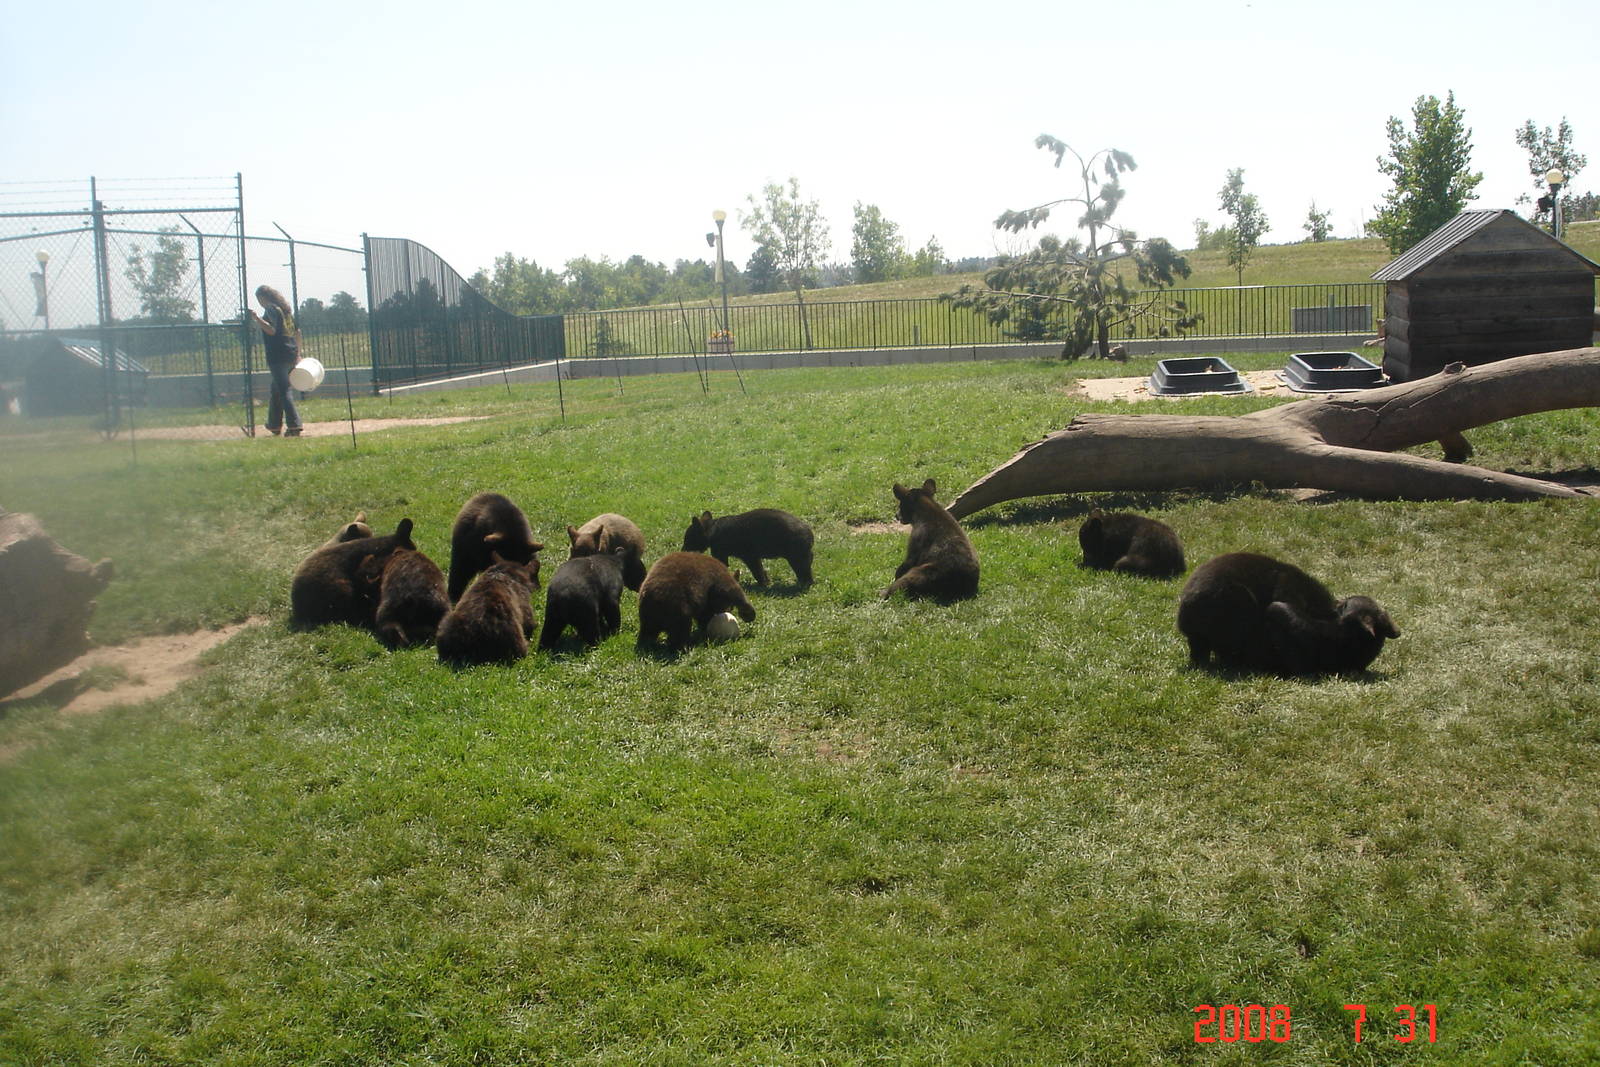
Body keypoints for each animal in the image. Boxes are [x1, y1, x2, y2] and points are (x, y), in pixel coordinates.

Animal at [681, 508, 814, 587]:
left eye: (688, 540)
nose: (682, 551)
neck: (712, 530)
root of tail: (809, 533)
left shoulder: (745, 556)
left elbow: (757, 571)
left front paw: (763, 584)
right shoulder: (753, 557)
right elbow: (761, 570)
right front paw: (766, 582)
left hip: (796, 558)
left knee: (805, 573)